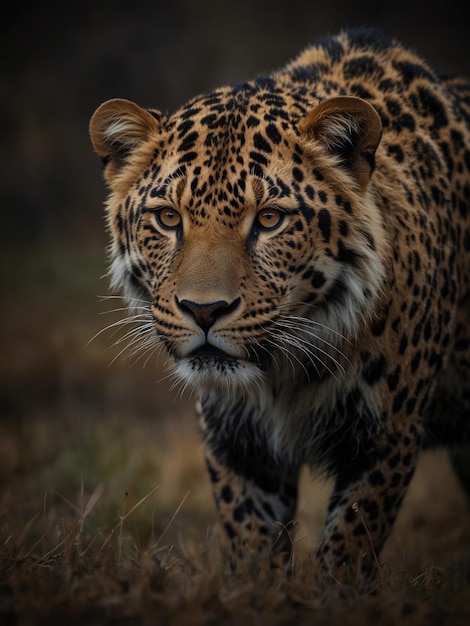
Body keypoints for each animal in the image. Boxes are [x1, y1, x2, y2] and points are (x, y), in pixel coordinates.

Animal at [88, 28, 470, 576]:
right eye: (167, 218)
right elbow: (251, 542)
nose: (204, 311)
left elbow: (348, 548)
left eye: (269, 219)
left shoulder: (385, 440)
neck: (284, 376)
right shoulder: (237, 443)